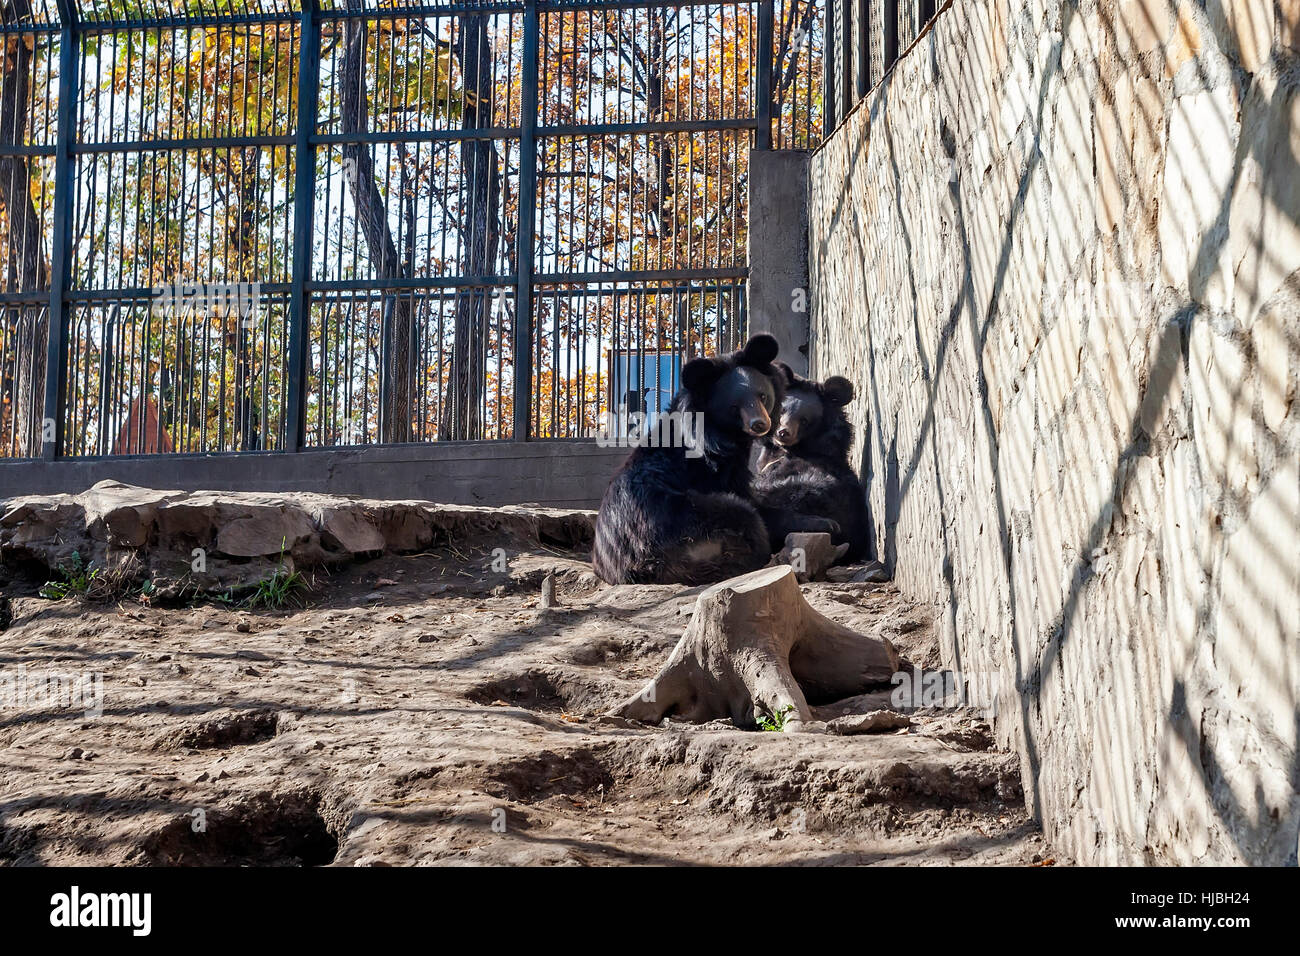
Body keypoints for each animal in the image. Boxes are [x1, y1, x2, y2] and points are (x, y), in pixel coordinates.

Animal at [595, 335, 785, 590]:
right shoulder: (716, 471)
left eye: (762, 396)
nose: (759, 424)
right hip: (693, 523)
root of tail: (642, 565)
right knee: (746, 518)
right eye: (734, 407)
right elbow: (750, 498)